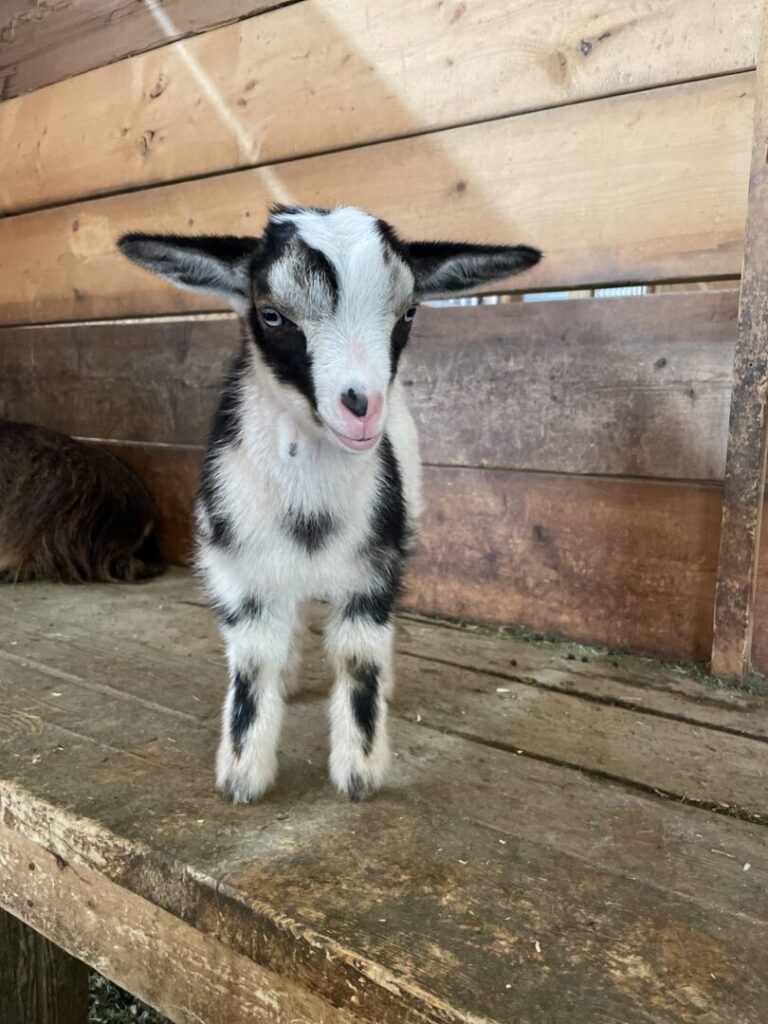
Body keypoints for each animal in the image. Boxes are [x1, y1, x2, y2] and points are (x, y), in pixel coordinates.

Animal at [120, 205, 540, 798]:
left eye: (409, 312)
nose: (362, 408)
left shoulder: (375, 565)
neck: (309, 515)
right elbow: (253, 661)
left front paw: (359, 774)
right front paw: (243, 776)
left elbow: (358, 657)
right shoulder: (238, 569)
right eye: (272, 315)